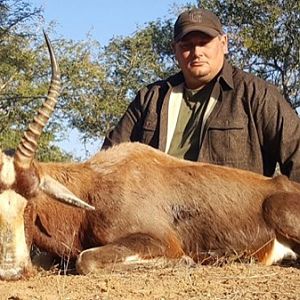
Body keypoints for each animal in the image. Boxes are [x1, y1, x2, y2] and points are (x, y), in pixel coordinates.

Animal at [0, 33, 300, 282]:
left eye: (30, 202)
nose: (11, 271)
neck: (96, 185)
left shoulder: (160, 241)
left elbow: (86, 260)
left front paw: (188, 262)